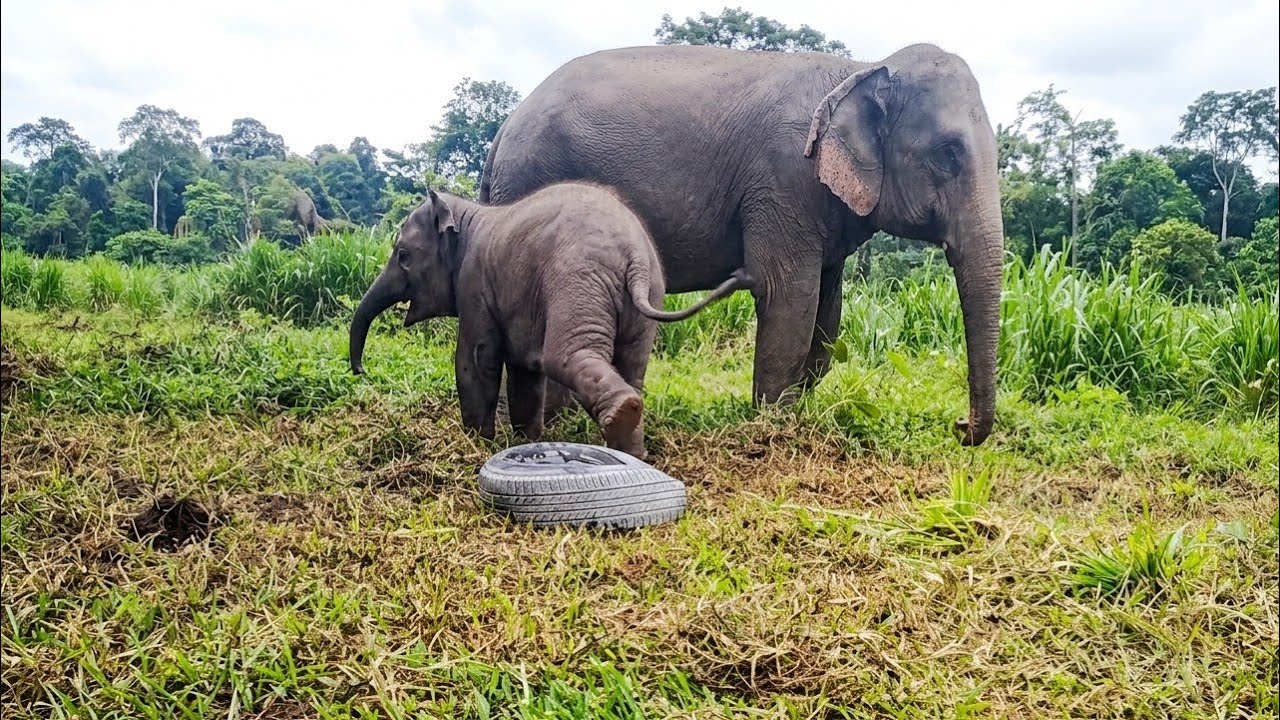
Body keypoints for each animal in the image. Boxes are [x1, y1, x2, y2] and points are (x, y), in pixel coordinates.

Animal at [348, 184, 751, 458]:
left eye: (402, 256)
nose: (362, 372)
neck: (468, 214)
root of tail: (634, 254)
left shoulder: (474, 286)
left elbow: (477, 359)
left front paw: (477, 442)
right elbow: (523, 369)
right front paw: (526, 439)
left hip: (578, 283)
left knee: (566, 357)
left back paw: (624, 415)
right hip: (647, 295)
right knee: (632, 367)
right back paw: (631, 450)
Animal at [481, 43, 1004, 445]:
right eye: (947, 155)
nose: (959, 427)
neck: (861, 66)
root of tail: (503, 129)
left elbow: (827, 318)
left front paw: (798, 416)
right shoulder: (784, 181)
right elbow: (789, 300)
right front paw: (772, 427)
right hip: (532, 182)